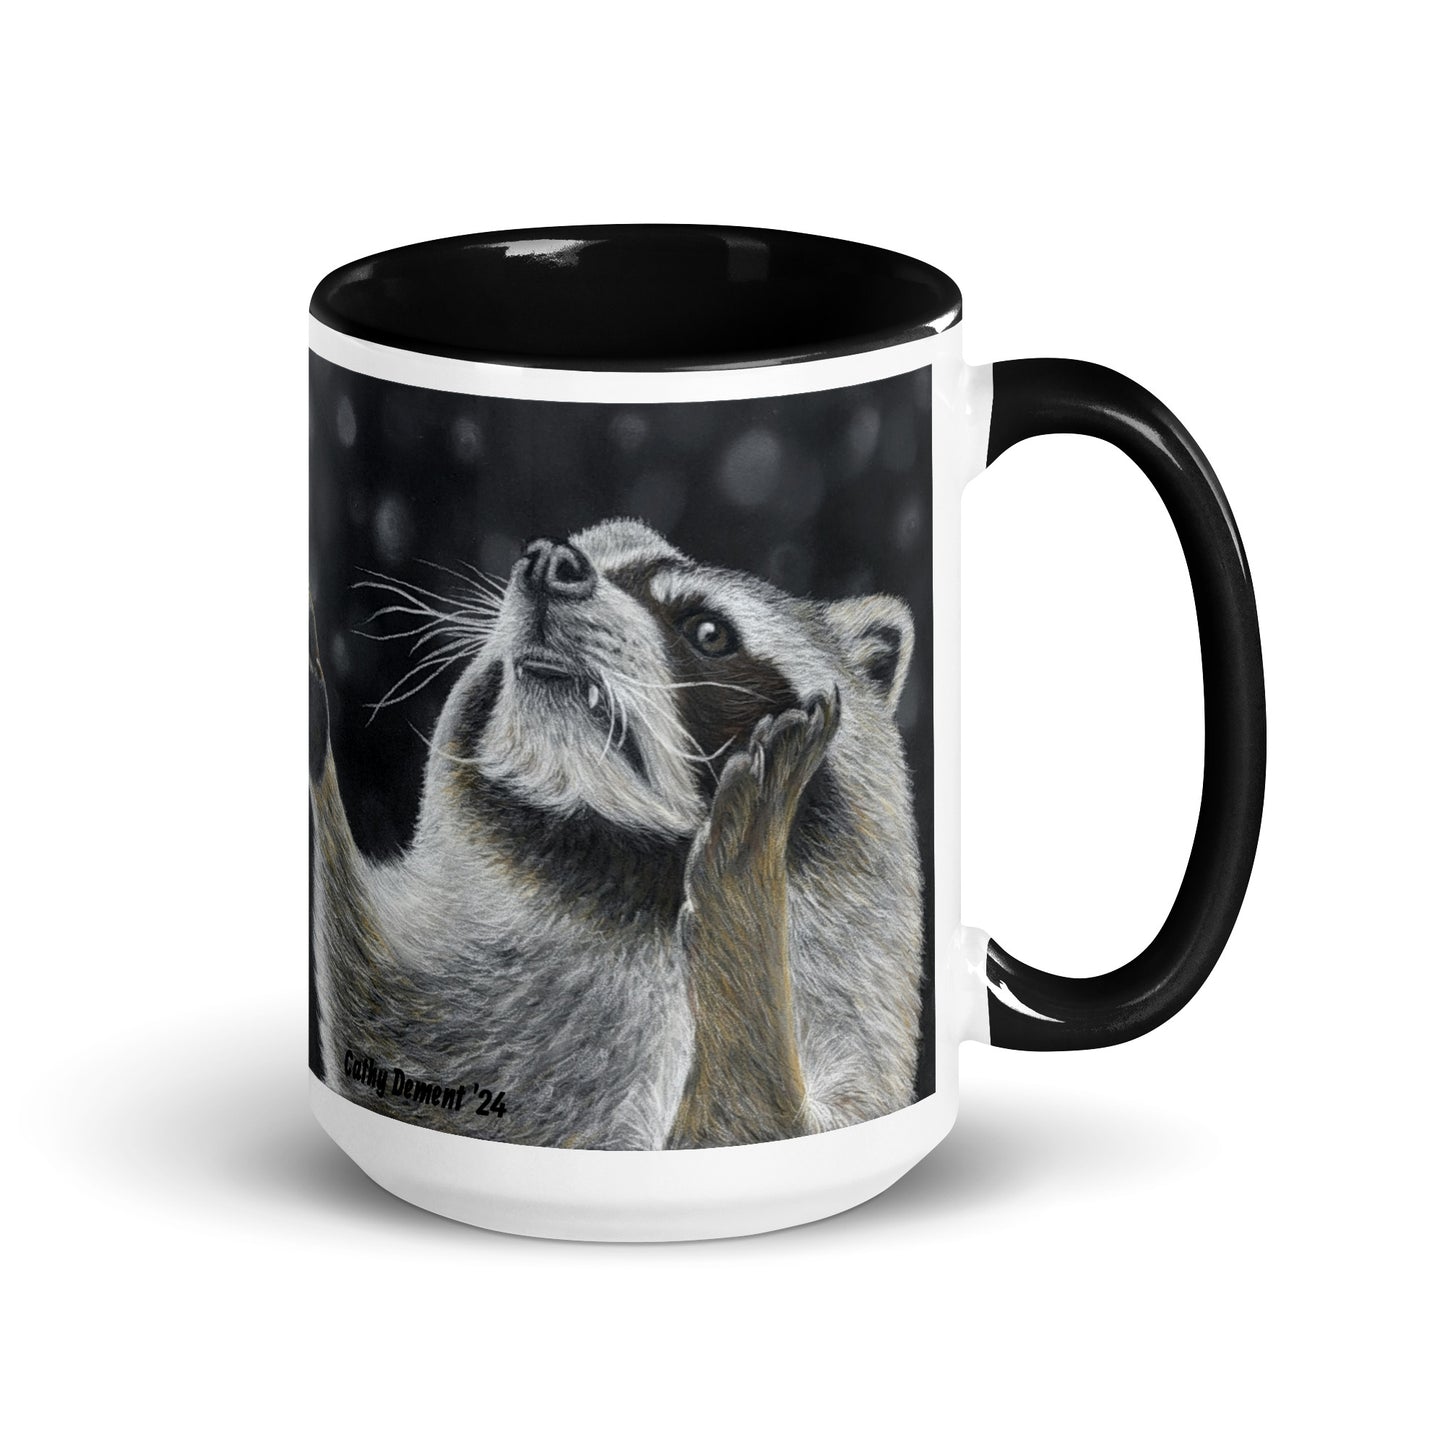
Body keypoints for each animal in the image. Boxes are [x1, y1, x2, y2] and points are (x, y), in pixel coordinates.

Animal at [310, 518, 923, 1150]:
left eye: (708, 630)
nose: (550, 562)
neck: (615, 864)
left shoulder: (857, 1057)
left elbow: (751, 1121)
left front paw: (747, 896)